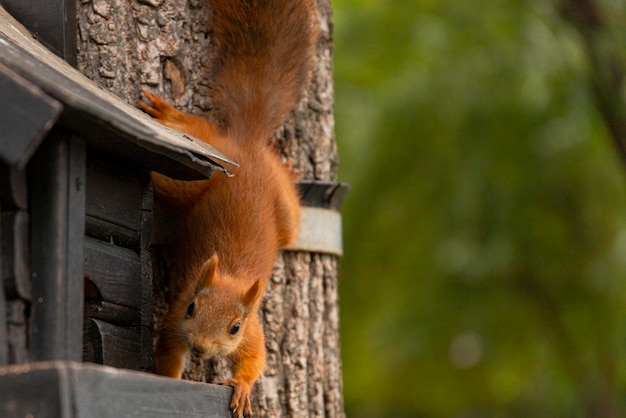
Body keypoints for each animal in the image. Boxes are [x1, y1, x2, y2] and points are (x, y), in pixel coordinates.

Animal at [135, 0, 314, 418]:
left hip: (280, 211)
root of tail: (245, 148)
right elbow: (167, 353)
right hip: (196, 174)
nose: (201, 348)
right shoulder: (175, 317)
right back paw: (169, 117)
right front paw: (168, 383)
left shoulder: (252, 331)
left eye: (234, 327)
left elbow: (255, 360)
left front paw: (243, 387)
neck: (230, 276)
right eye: (191, 309)